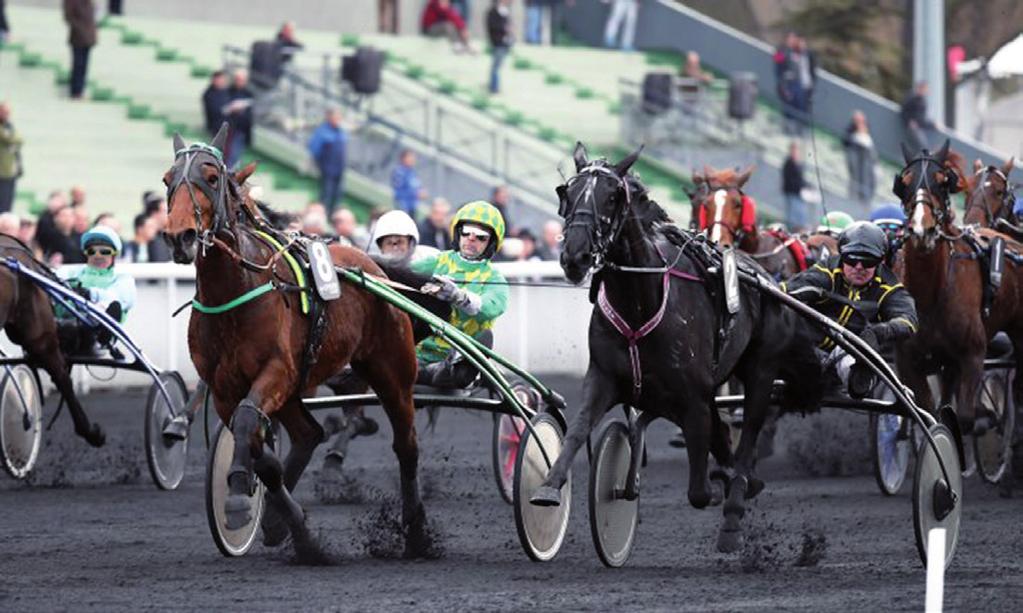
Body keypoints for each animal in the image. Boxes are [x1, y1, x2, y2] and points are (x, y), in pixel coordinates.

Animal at [158, 126, 427, 560]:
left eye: (211, 178)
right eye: (168, 180)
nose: (178, 236)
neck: (235, 291)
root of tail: (370, 265)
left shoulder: (276, 370)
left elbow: (248, 422)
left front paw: (237, 501)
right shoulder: (225, 386)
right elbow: (259, 449)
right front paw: (286, 526)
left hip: (392, 372)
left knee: (406, 446)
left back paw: (416, 533)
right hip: (297, 388)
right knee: (309, 434)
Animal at [527, 146, 822, 552]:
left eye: (613, 196)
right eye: (566, 193)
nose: (575, 256)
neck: (640, 301)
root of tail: (762, 276)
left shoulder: (693, 396)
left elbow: (700, 487)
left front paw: (720, 489)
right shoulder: (602, 377)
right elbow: (578, 430)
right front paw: (549, 488)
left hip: (761, 370)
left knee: (748, 433)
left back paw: (733, 510)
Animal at [892, 141, 1023, 433]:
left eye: (943, 182)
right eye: (904, 183)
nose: (922, 230)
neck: (932, 292)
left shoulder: (972, 357)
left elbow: (962, 419)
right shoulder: (910, 361)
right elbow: (930, 414)